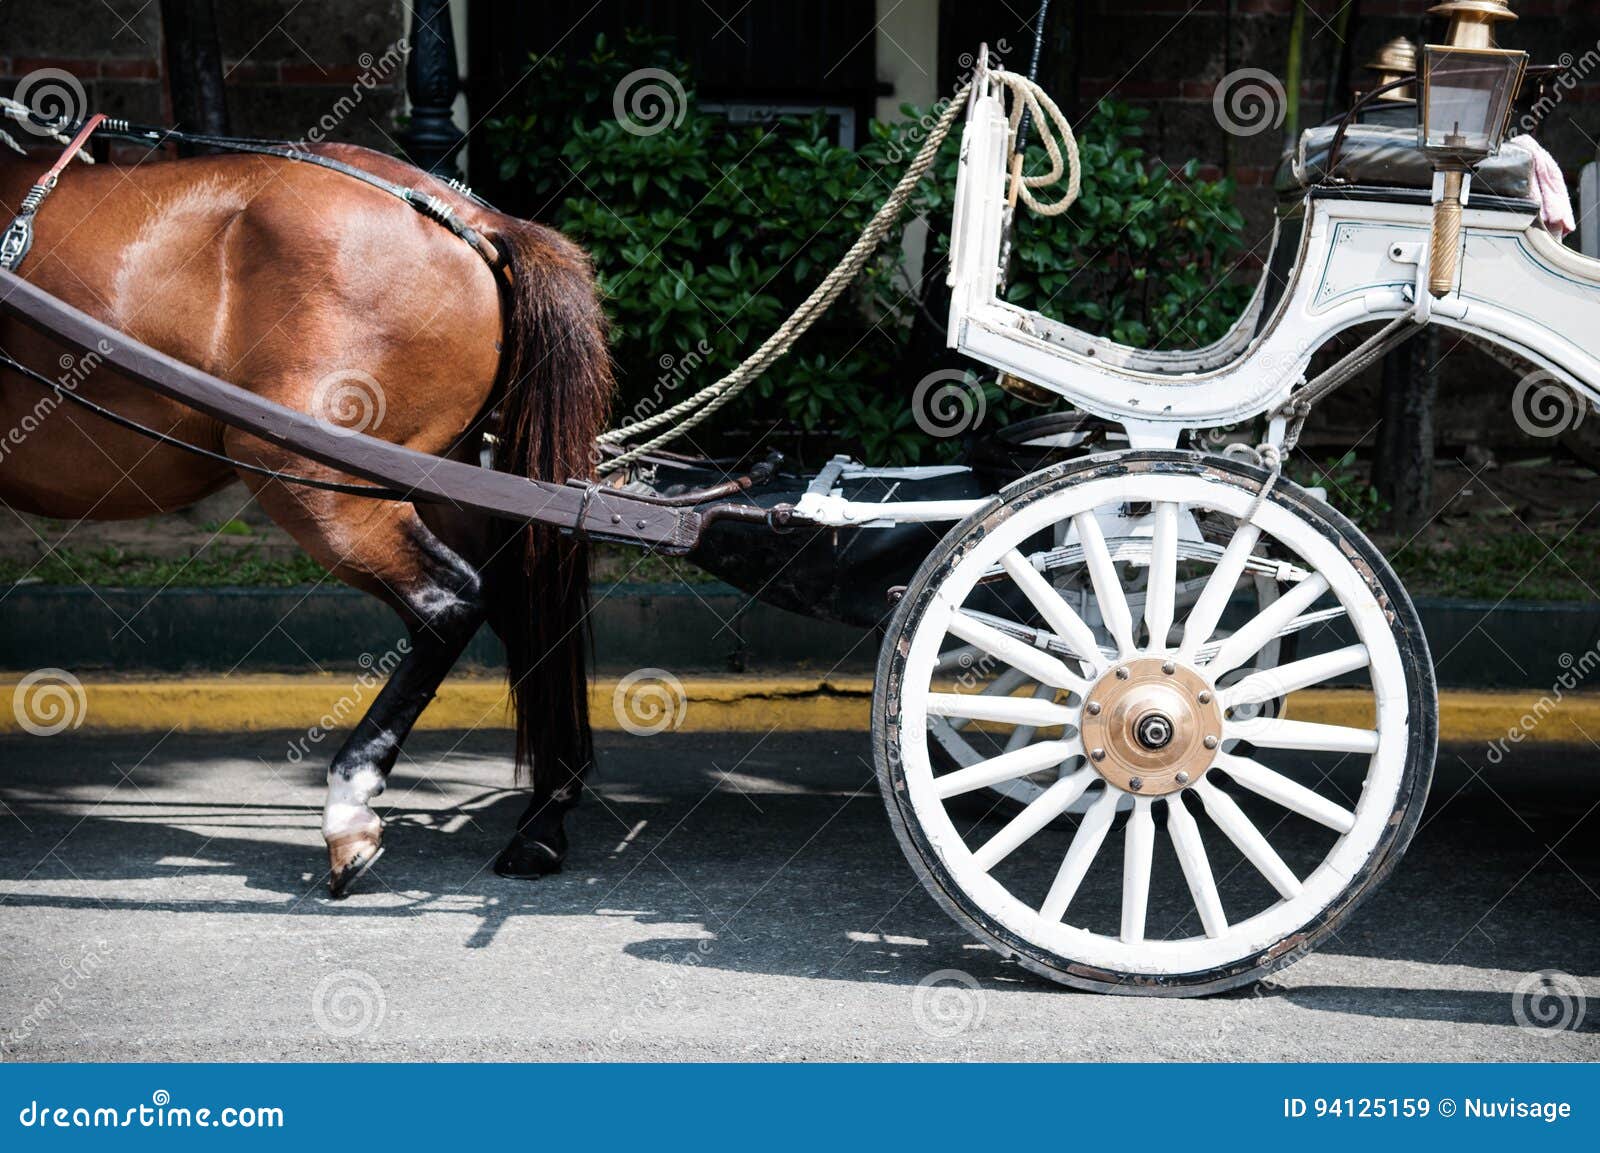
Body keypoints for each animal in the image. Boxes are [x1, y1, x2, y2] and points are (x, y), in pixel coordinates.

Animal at [0, 140, 613, 896]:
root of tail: (470, 217)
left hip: (311, 476)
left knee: (449, 603)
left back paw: (350, 806)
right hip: (433, 479)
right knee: (521, 607)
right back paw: (542, 822)